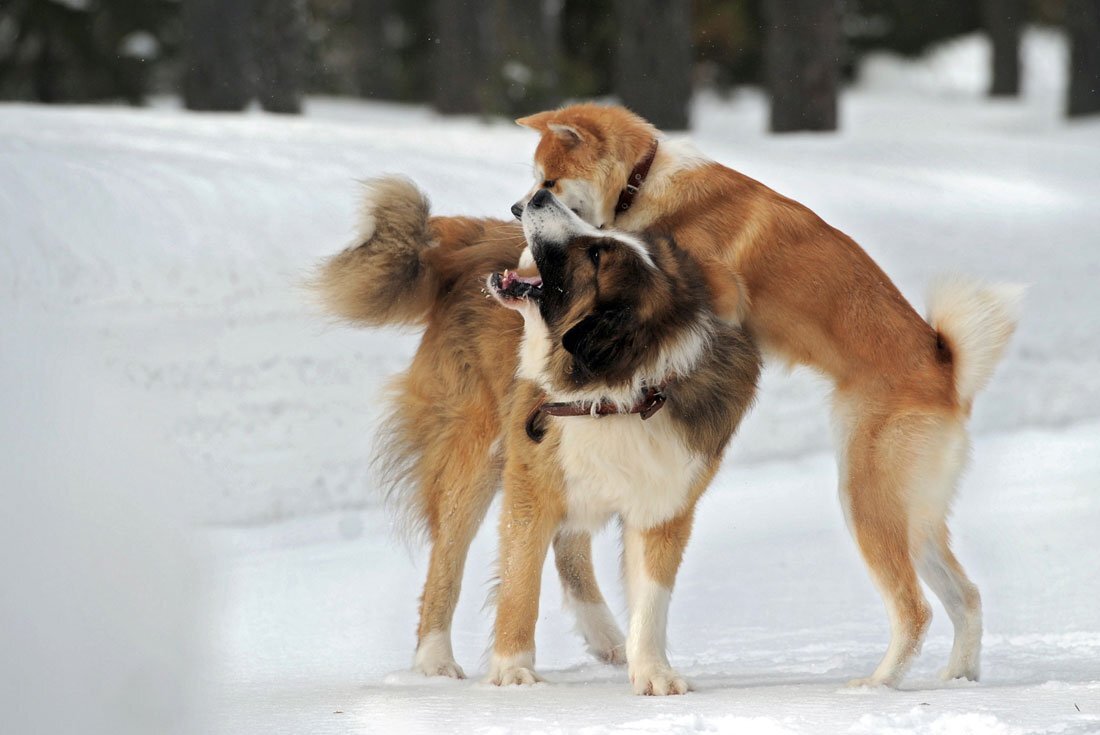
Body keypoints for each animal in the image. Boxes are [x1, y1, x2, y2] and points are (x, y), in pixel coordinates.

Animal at [314, 178, 761, 695]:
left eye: (595, 253)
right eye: (603, 237)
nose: (542, 195)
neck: (617, 392)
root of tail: (472, 240)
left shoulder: (665, 498)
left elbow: (652, 597)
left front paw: (652, 671)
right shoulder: (531, 478)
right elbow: (520, 577)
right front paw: (512, 670)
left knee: (568, 545)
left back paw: (607, 636)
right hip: (474, 454)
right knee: (447, 559)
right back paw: (435, 660)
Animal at [510, 103, 1025, 690]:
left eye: (548, 182)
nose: (517, 207)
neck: (645, 180)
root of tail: (947, 373)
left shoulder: (715, 286)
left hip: (867, 500)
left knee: (915, 610)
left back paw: (877, 684)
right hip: (912, 513)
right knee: (967, 597)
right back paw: (959, 675)